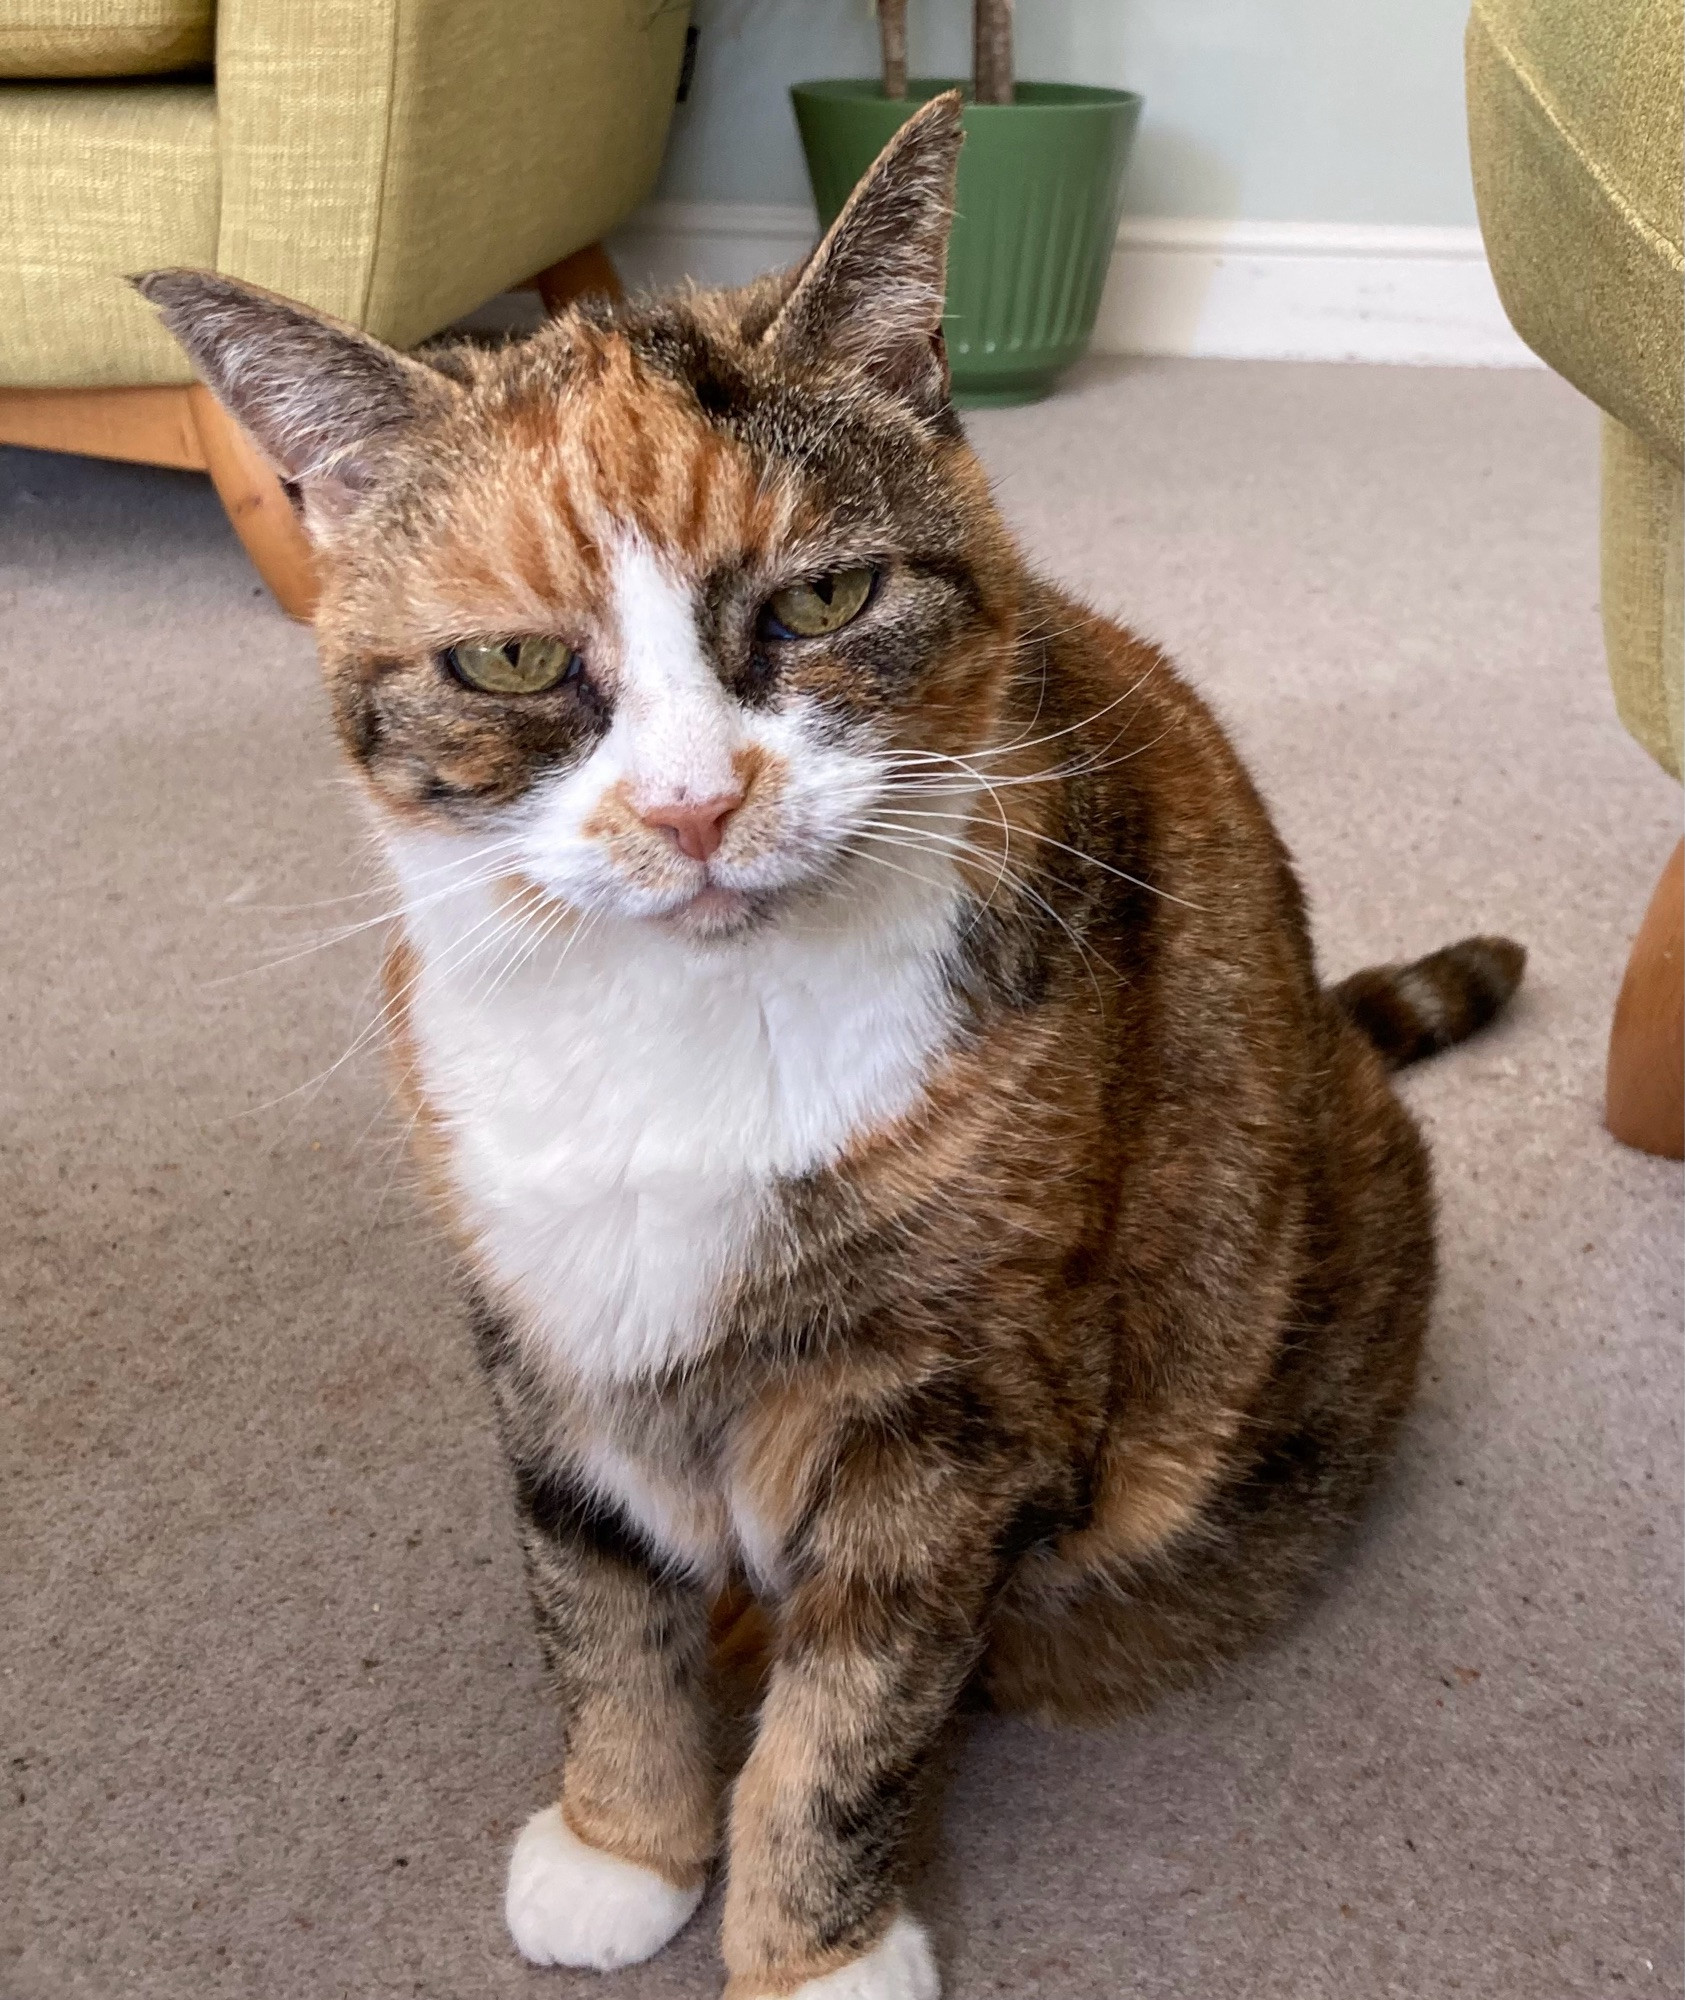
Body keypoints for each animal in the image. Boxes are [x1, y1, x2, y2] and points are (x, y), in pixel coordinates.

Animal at [138, 94, 1512, 2000]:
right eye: (514, 662)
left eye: (825, 600)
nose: (692, 806)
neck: (684, 1042)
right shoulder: (546, 1334)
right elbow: (597, 1608)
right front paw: (623, 1843)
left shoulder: (951, 1418)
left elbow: (855, 1713)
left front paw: (811, 1951)